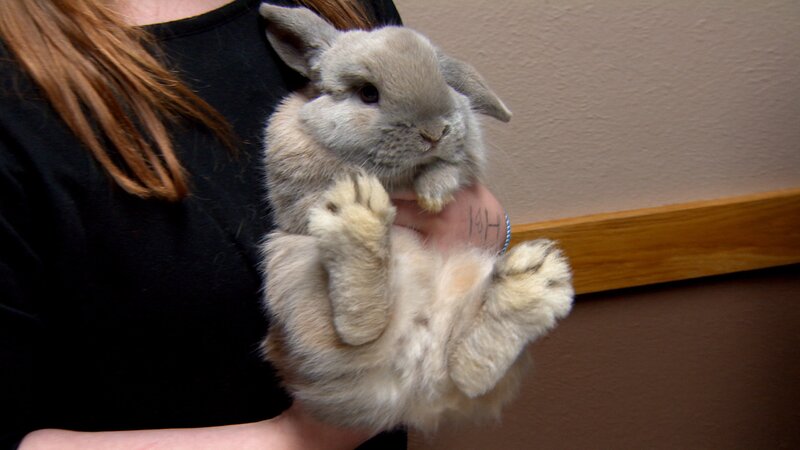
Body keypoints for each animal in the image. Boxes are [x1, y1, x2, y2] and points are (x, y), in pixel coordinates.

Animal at [258, 4, 574, 432]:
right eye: (367, 92)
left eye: (443, 80)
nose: (435, 130)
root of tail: (413, 387)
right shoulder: (294, 191)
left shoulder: (465, 158)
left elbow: (450, 167)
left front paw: (434, 194)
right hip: (292, 268)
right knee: (359, 332)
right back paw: (357, 215)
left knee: (467, 369)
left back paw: (532, 283)